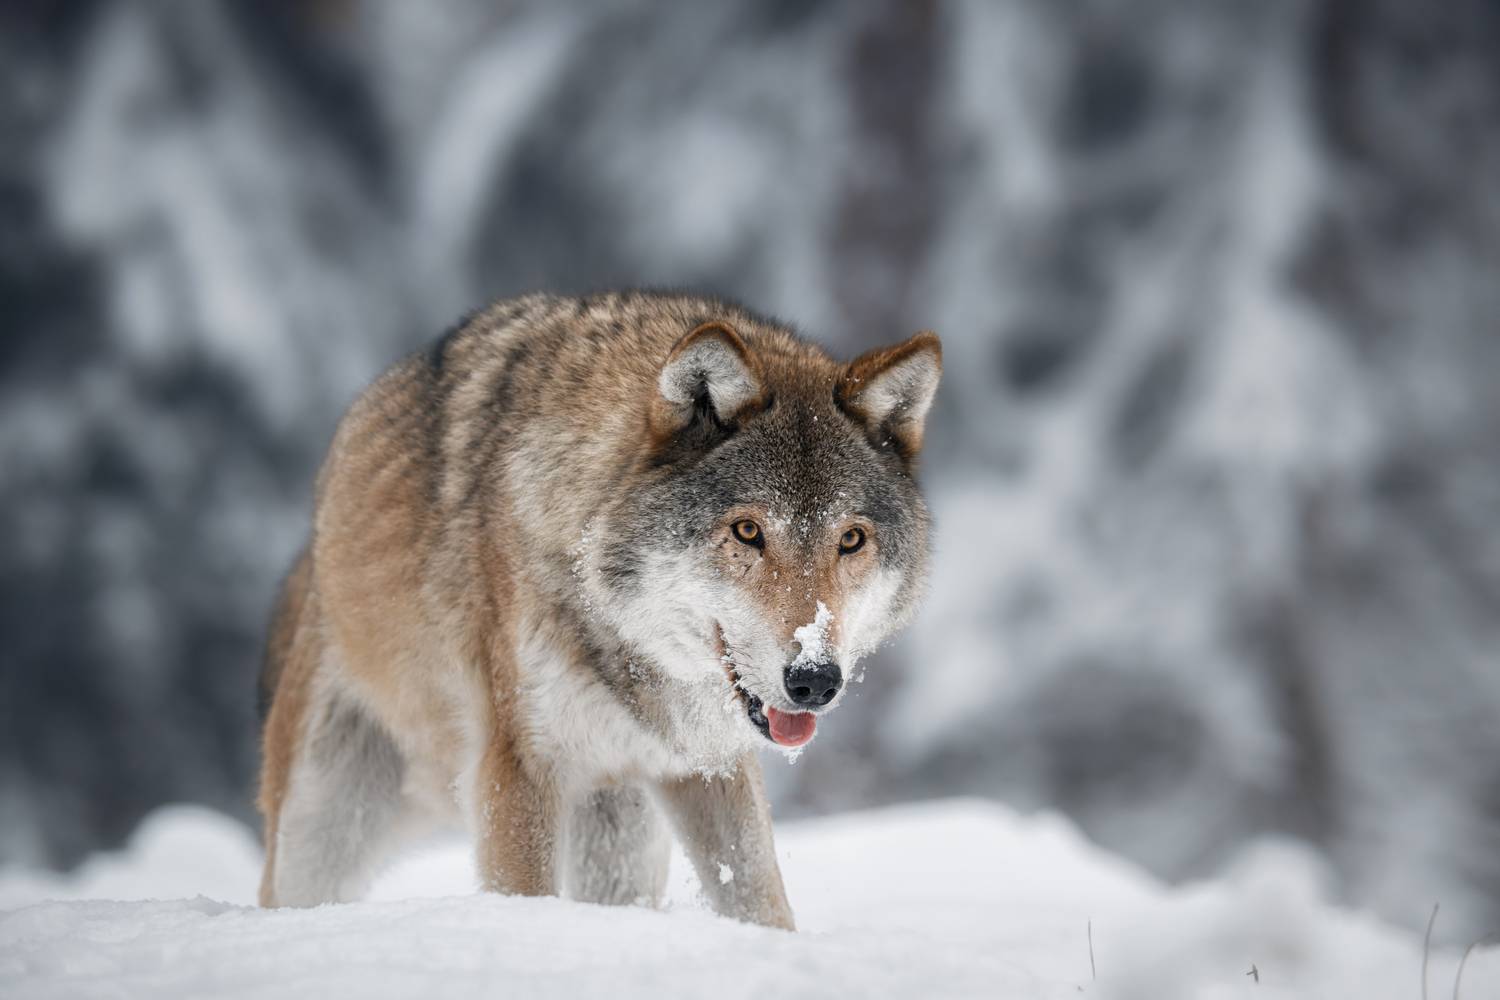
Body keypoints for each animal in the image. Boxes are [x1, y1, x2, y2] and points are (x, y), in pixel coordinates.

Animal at [256, 291, 941, 928]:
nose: (814, 680)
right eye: (748, 531)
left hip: (620, 836)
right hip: (318, 830)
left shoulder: (710, 765)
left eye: (849, 539)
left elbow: (762, 899)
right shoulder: (520, 770)